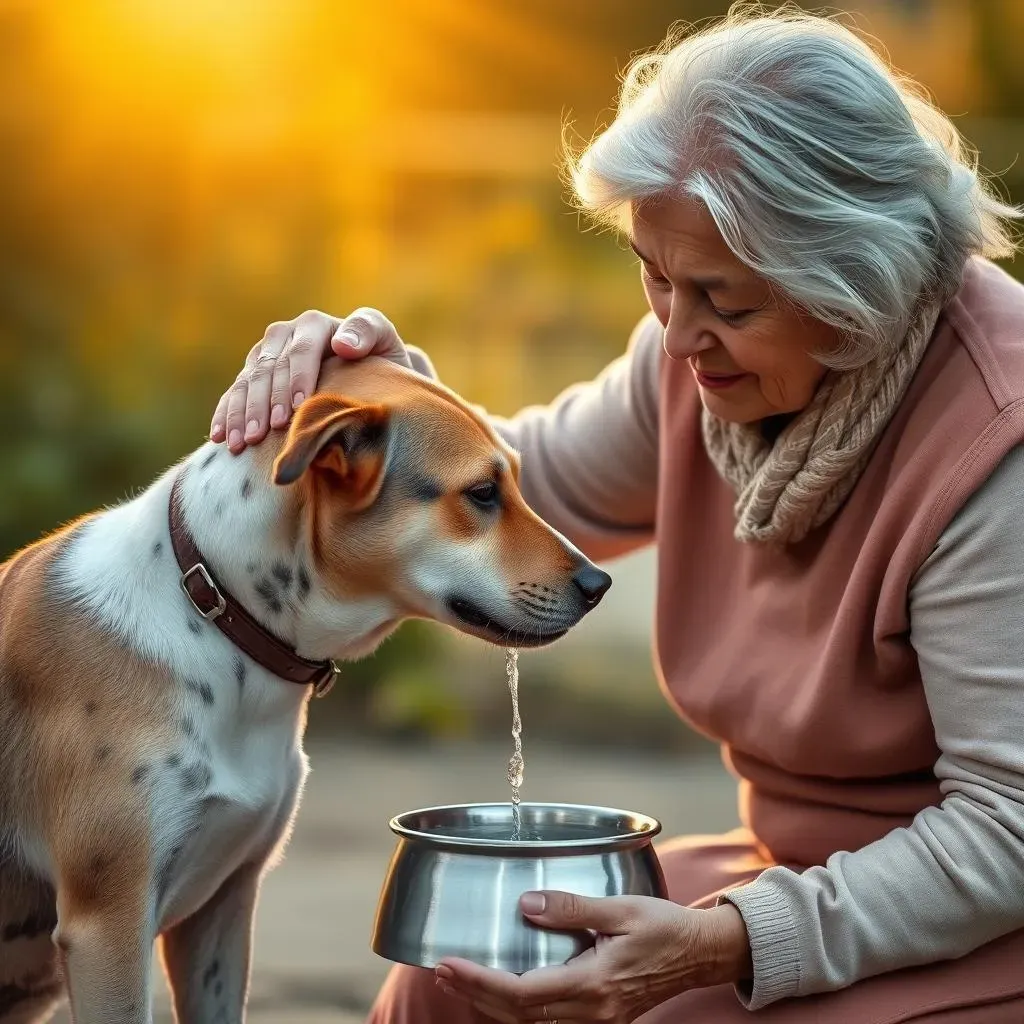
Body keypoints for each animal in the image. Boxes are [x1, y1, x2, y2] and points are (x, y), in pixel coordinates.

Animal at [0, 356, 606, 1019]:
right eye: (482, 493)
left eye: (515, 482)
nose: (599, 584)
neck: (217, 607)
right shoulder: (108, 923)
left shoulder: (226, 904)